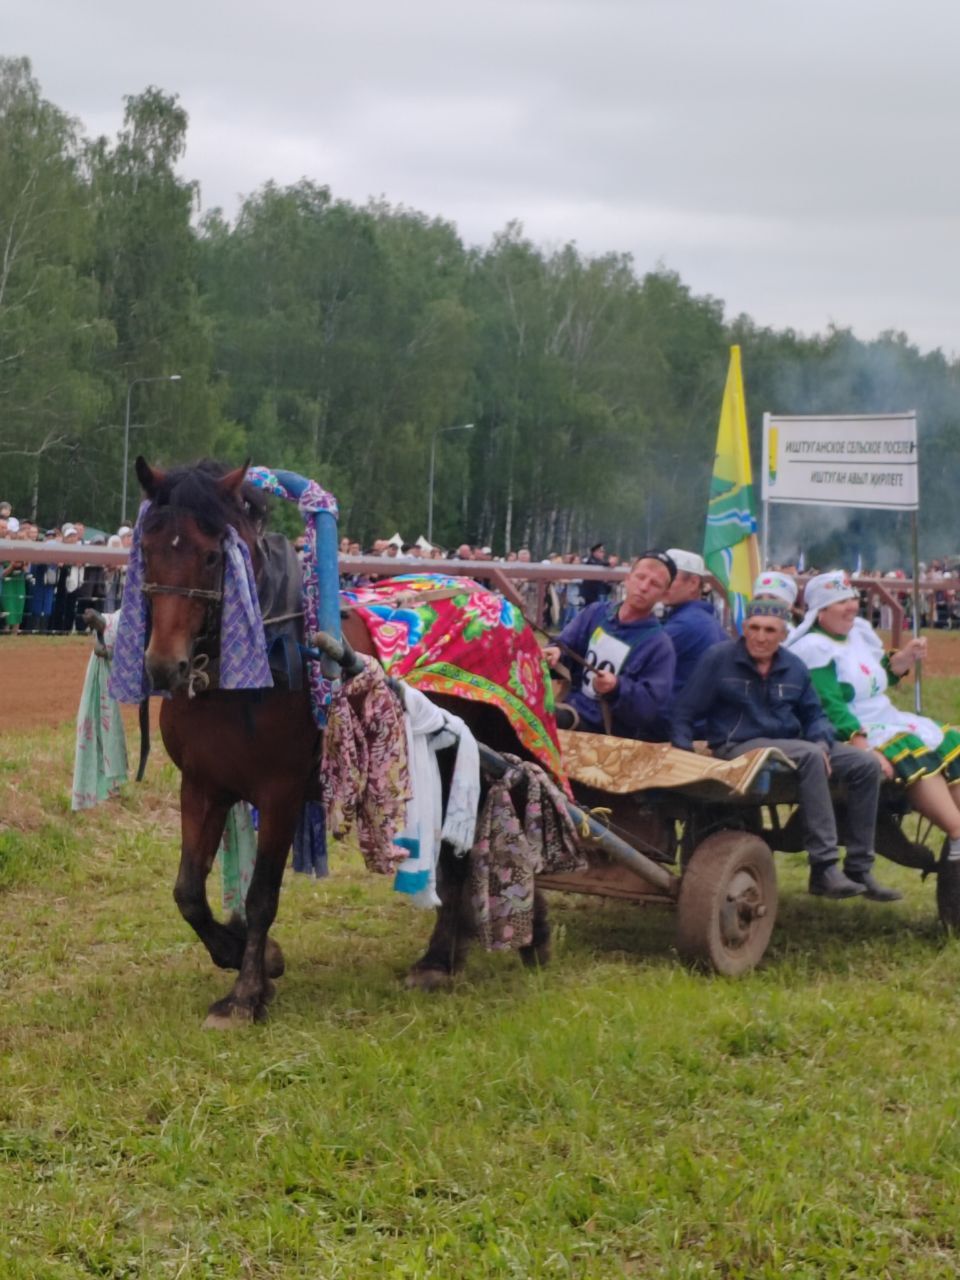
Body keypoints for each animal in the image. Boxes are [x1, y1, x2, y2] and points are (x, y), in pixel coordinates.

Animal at [133, 455, 547, 1024]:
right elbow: (188, 893)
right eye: (148, 549)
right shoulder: (203, 786)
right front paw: (252, 957)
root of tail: (498, 602)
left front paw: (245, 995)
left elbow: (262, 896)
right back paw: (444, 957)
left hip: (490, 756)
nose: (163, 665)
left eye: (212, 554)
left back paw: (516, 942)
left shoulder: (280, 793)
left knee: (517, 812)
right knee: (455, 855)